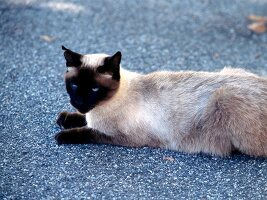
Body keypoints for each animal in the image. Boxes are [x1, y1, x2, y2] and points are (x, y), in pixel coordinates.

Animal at [55, 46, 267, 157]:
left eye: (94, 89)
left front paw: (62, 136)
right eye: (74, 85)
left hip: (224, 98)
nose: (78, 102)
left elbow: (88, 132)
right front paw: (64, 118)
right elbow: (80, 118)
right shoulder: (88, 114)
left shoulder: (122, 137)